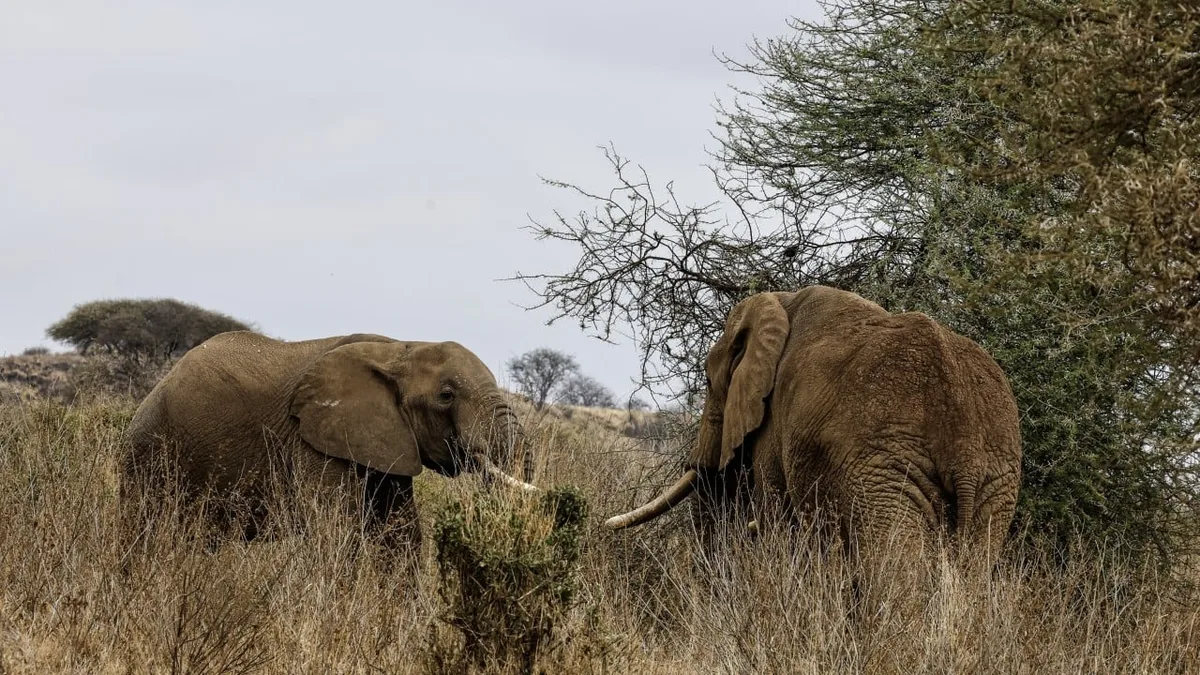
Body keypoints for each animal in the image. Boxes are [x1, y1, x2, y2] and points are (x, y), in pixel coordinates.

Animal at [121, 330, 537, 556]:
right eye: (446, 396)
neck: (399, 348)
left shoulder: (387, 442)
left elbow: (402, 538)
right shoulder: (313, 442)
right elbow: (336, 534)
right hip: (151, 454)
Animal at [604, 286, 1022, 573]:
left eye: (707, 382)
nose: (603, 524)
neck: (780, 304)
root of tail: (963, 444)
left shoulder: (774, 428)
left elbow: (775, 517)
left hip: (884, 473)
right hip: (997, 479)